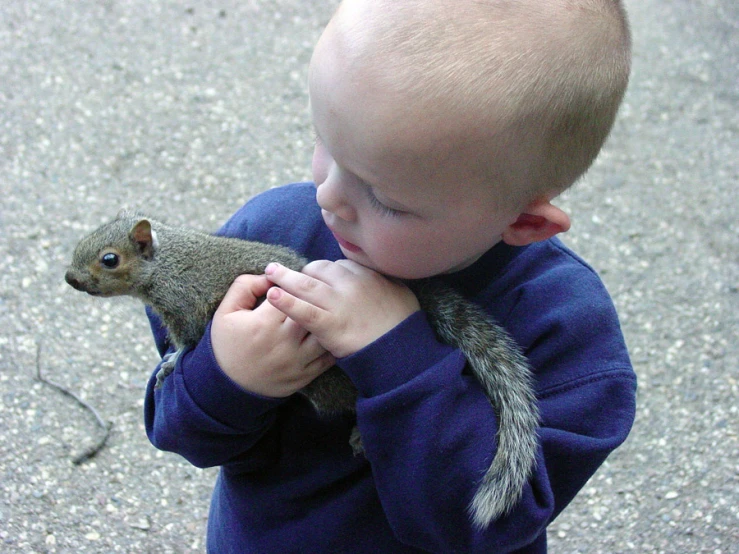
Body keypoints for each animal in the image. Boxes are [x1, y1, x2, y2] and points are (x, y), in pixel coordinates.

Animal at [65, 211, 536, 528]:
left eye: (109, 259)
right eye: (82, 241)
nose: (70, 279)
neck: (166, 265)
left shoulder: (186, 307)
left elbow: (189, 343)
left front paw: (172, 363)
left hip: (327, 385)